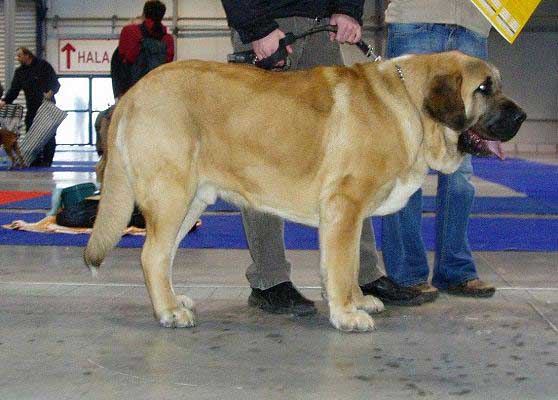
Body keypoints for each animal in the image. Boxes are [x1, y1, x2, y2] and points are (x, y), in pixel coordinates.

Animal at [84, 50, 524, 332]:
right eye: (484, 88)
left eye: (499, 85)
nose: (521, 115)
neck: (410, 104)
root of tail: (133, 93)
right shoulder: (344, 206)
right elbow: (342, 266)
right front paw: (347, 315)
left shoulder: (348, 217)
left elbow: (347, 264)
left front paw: (356, 300)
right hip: (172, 194)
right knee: (152, 255)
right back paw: (170, 313)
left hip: (191, 201)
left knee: (164, 256)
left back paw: (176, 301)